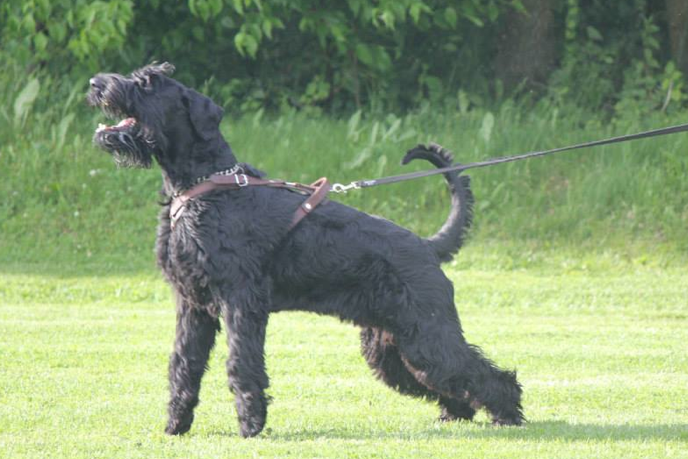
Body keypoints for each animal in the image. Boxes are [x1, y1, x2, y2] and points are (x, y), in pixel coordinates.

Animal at [88, 63, 524, 436]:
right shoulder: (192, 305)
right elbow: (184, 365)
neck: (205, 186)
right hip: (393, 346)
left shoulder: (240, 301)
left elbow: (241, 362)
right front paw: (176, 425)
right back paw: (455, 414)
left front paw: (251, 425)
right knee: (445, 379)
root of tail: (428, 247)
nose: (96, 83)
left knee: (487, 375)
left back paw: (508, 417)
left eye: (149, 82)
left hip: (427, 336)